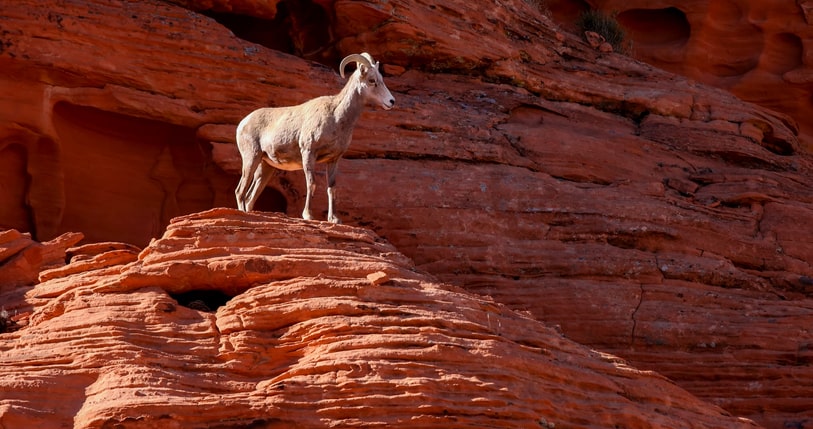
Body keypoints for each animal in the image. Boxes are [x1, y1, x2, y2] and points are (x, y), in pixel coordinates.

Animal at [233, 51, 394, 222]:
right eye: (372, 80)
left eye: (381, 79)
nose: (391, 101)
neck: (336, 117)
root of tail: (243, 123)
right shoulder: (309, 153)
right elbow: (311, 183)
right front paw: (308, 215)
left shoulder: (333, 160)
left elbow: (332, 188)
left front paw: (334, 219)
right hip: (251, 158)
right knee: (240, 191)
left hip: (266, 167)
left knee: (250, 197)